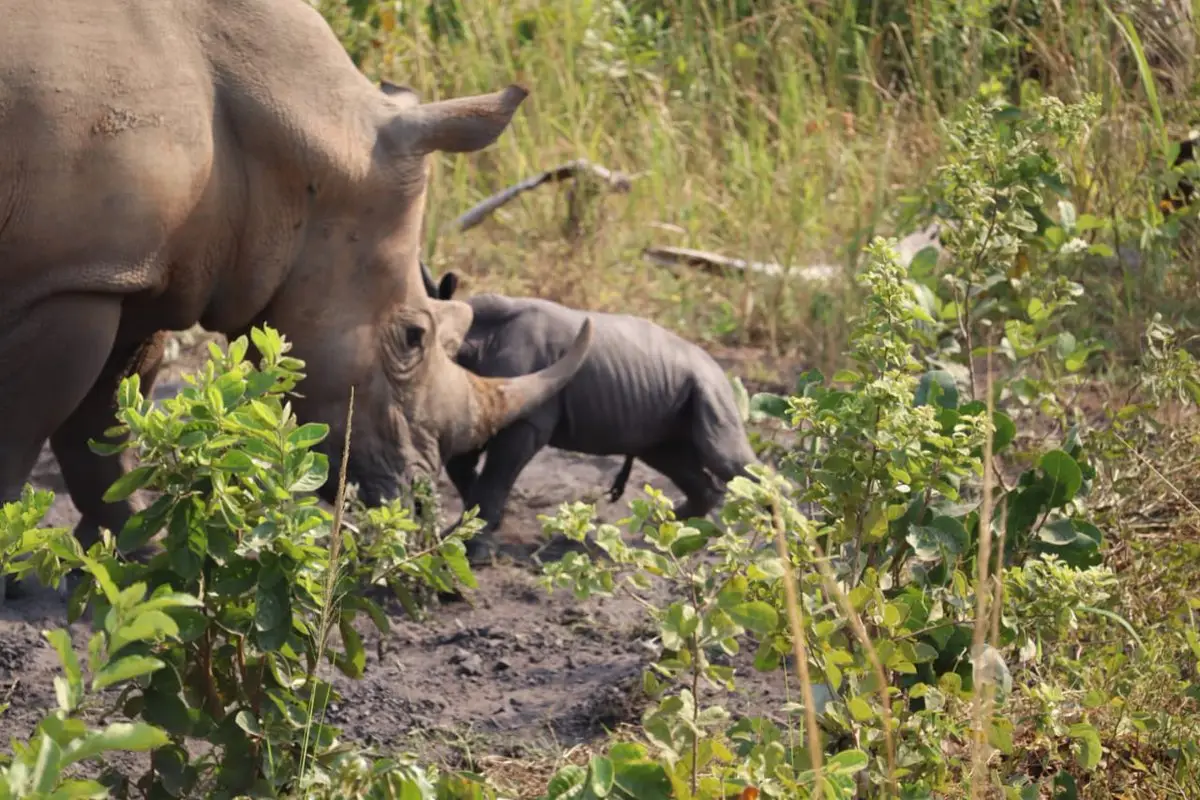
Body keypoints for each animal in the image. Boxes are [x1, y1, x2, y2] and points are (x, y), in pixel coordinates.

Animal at [0, 0, 593, 573]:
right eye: (413, 338)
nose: (419, 504)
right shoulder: (70, 280)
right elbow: (25, 429)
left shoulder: (129, 269)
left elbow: (108, 417)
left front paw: (132, 551)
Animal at [434, 281, 758, 561]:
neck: (475, 340)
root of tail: (717, 366)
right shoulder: (481, 405)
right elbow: (465, 470)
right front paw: (459, 531)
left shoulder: (523, 417)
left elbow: (495, 478)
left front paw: (475, 552)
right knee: (667, 456)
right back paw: (664, 534)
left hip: (709, 384)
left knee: (723, 455)